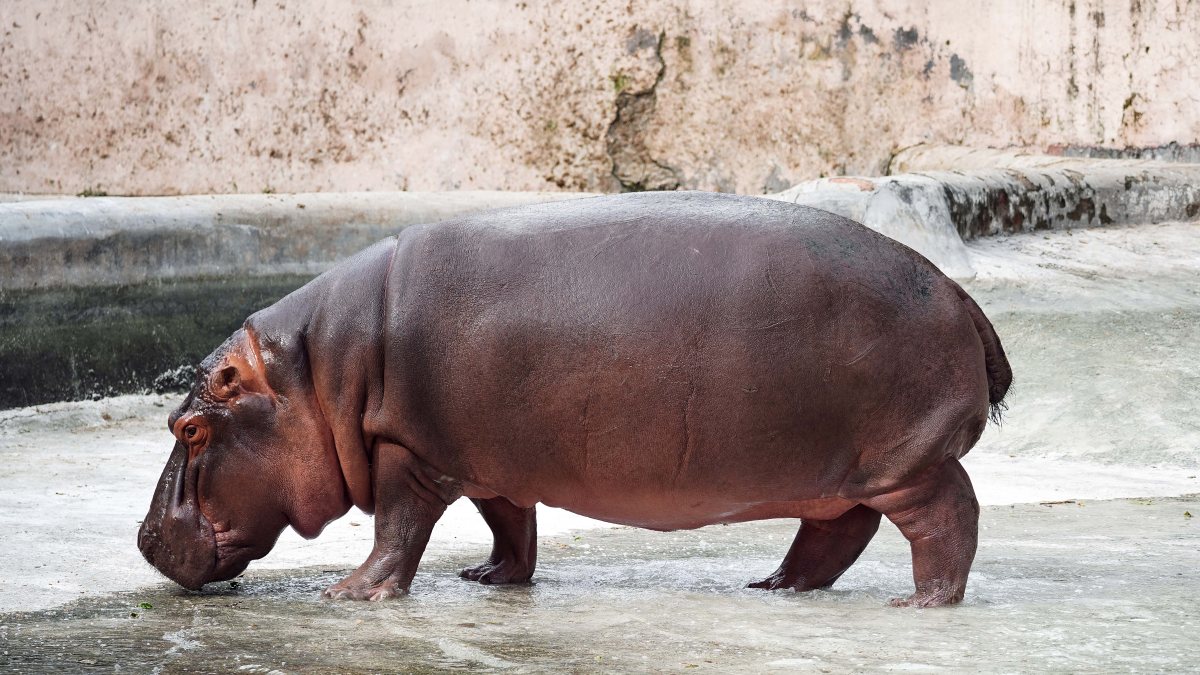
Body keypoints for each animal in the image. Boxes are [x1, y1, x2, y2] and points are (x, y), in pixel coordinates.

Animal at [138, 191, 1011, 607]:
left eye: (191, 427)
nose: (145, 539)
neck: (316, 370)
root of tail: (961, 293)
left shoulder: (408, 452)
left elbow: (397, 530)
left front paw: (351, 592)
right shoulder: (484, 457)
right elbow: (509, 524)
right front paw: (489, 579)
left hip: (904, 461)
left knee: (949, 516)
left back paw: (921, 601)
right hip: (839, 473)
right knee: (835, 533)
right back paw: (775, 585)